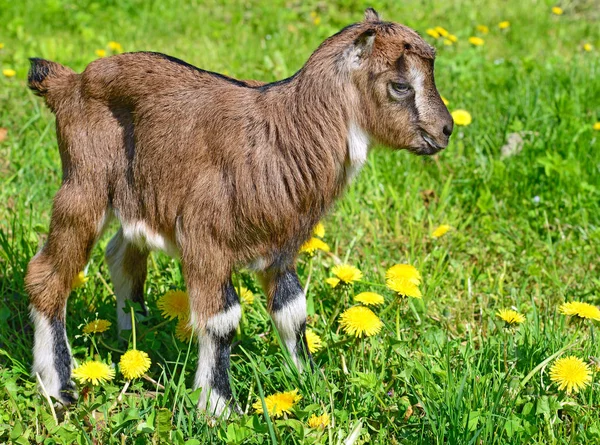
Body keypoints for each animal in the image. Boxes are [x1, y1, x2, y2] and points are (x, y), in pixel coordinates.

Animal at [25, 8, 452, 414]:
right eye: (400, 85)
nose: (446, 130)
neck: (283, 135)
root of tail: (70, 82)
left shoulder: (281, 249)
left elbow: (293, 312)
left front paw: (312, 380)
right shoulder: (206, 240)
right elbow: (222, 322)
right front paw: (219, 407)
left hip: (141, 194)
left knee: (122, 255)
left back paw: (136, 335)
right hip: (85, 184)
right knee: (47, 274)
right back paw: (60, 385)